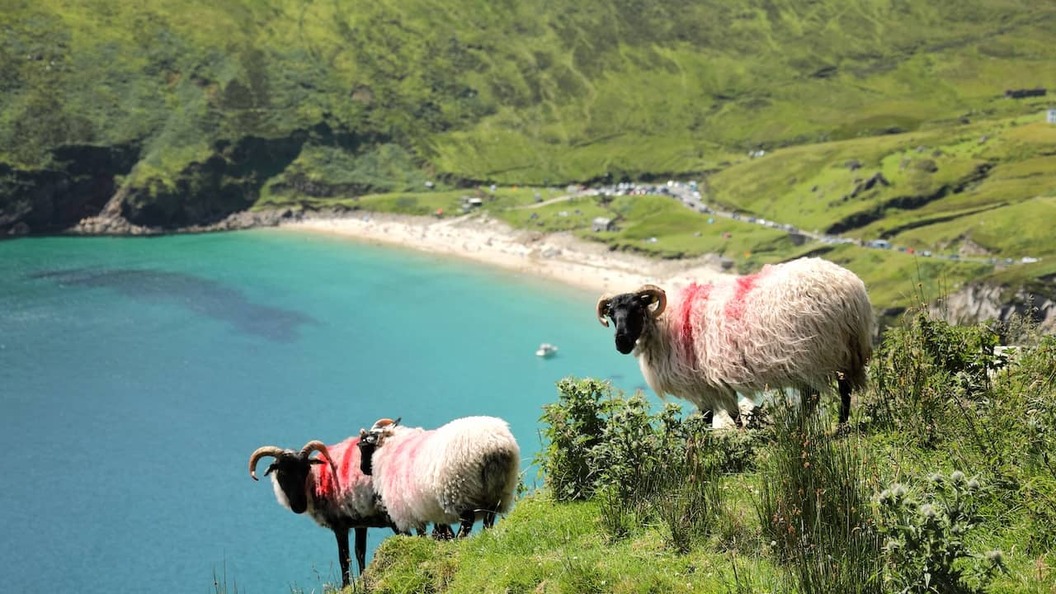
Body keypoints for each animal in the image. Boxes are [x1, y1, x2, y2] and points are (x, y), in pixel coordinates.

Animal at [248, 437, 395, 587]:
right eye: (282, 472)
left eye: (306, 469)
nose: (299, 506)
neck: (316, 482)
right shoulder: (361, 522)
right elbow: (359, 551)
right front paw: (362, 579)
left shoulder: (340, 526)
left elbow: (344, 558)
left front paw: (345, 585)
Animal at [357, 416, 521, 537]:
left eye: (363, 446)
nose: (363, 469)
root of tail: (493, 444)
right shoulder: (431, 508)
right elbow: (440, 529)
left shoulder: (409, 508)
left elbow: (421, 533)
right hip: (498, 489)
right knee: (489, 517)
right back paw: (486, 535)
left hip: (459, 491)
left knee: (468, 520)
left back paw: (460, 541)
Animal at [595, 257, 873, 426]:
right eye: (612, 314)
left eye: (637, 309)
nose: (621, 343)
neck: (665, 325)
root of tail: (850, 286)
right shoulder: (709, 385)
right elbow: (714, 417)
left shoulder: (710, 384)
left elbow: (725, 417)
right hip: (838, 351)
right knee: (827, 393)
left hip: (821, 352)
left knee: (834, 392)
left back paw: (834, 427)